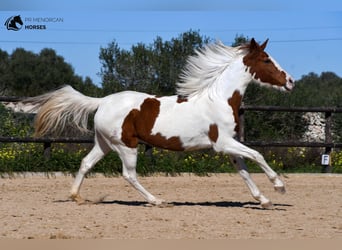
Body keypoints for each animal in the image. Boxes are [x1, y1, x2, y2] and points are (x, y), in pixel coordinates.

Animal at [26, 38, 294, 208]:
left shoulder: (229, 146)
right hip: (126, 146)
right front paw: (279, 187)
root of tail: (102, 101)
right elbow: (258, 155)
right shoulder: (223, 143)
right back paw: (157, 201)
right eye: (266, 60)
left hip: (104, 143)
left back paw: (77, 197)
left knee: (85, 163)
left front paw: (264, 200)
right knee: (129, 175)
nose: (291, 81)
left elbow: (244, 171)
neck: (220, 99)